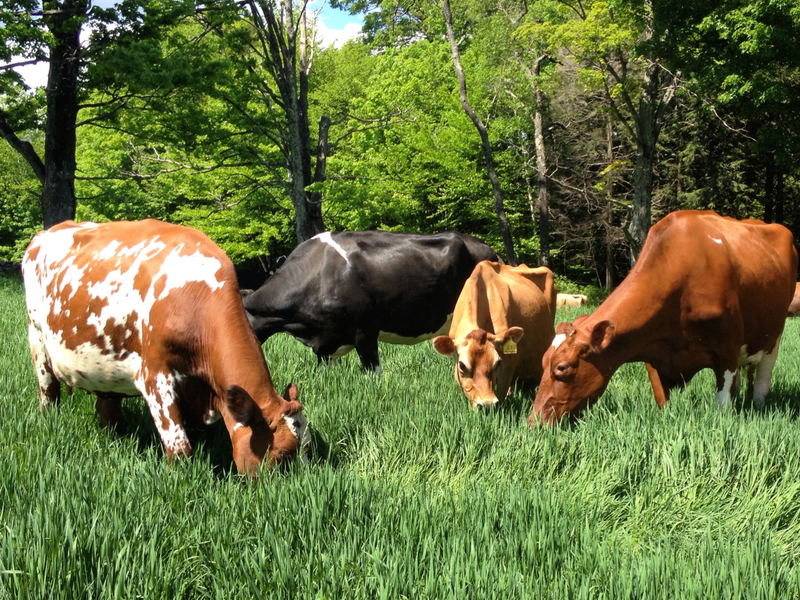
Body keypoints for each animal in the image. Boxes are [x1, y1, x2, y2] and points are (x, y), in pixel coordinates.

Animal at [22, 220, 311, 475]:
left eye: (308, 449)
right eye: (284, 453)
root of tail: (45, 233)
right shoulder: (154, 376)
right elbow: (181, 448)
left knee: (108, 408)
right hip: (36, 336)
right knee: (48, 393)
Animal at [530, 210, 797, 425]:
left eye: (562, 367)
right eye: (542, 362)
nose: (534, 422)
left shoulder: (727, 349)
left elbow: (723, 405)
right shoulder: (654, 354)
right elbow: (662, 401)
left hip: (774, 335)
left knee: (763, 377)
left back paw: (758, 404)